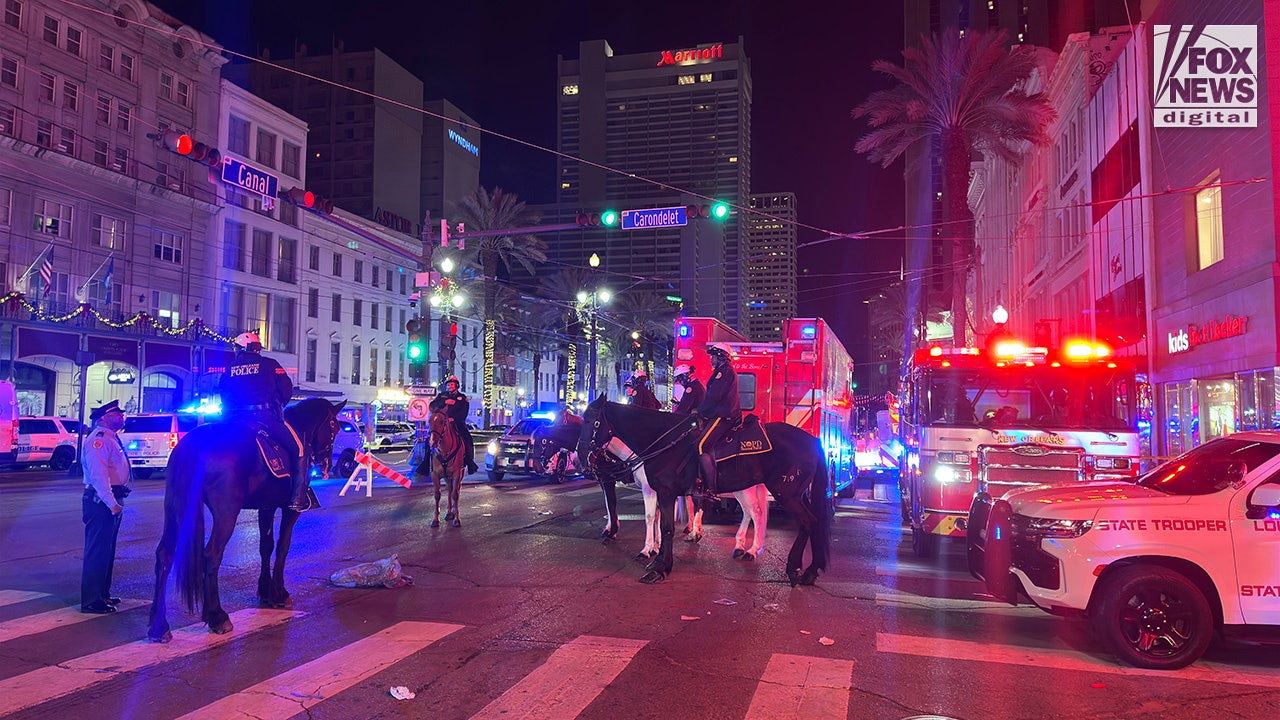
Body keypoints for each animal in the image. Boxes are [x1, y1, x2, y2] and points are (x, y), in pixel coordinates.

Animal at [147, 397, 345, 638]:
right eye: (334, 426)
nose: (327, 465)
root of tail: (194, 444)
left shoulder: (266, 507)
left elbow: (266, 547)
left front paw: (266, 592)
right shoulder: (290, 510)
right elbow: (282, 547)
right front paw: (280, 593)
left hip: (176, 507)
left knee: (165, 554)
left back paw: (159, 625)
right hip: (226, 513)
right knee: (212, 554)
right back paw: (217, 616)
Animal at [578, 394, 834, 586]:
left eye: (592, 421)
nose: (581, 457)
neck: (663, 442)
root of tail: (813, 441)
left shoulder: (665, 492)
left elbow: (665, 527)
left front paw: (660, 567)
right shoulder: (661, 493)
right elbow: (660, 523)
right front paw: (655, 555)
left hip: (786, 493)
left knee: (806, 521)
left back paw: (794, 568)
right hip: (795, 494)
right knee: (807, 519)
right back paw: (807, 568)